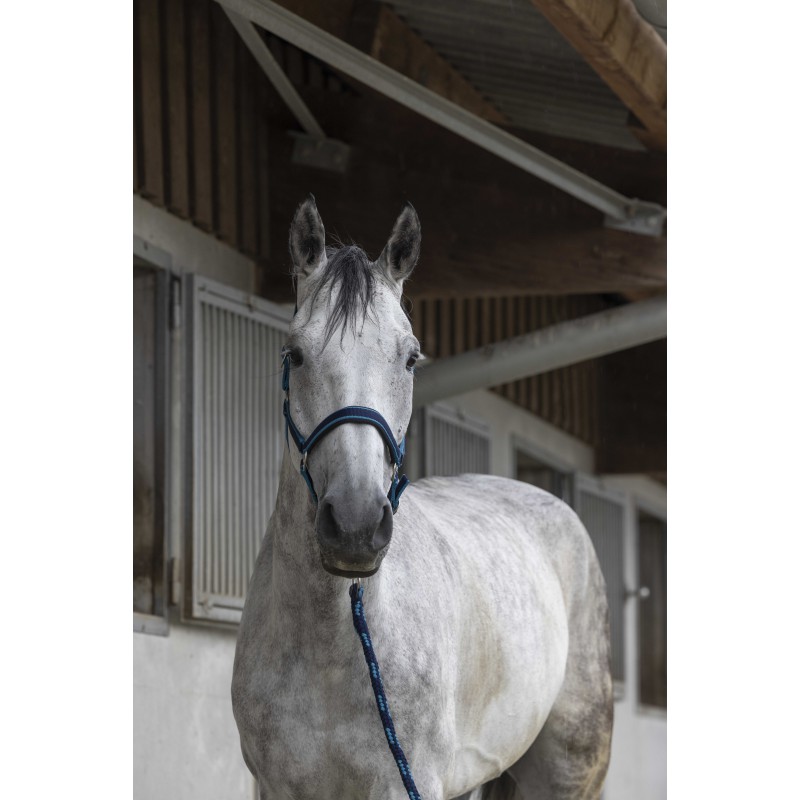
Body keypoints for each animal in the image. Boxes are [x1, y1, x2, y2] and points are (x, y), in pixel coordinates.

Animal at [231, 196, 613, 800]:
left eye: (410, 359)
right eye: (294, 354)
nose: (357, 525)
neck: (332, 644)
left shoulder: (406, 784)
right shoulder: (276, 787)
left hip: (568, 772)